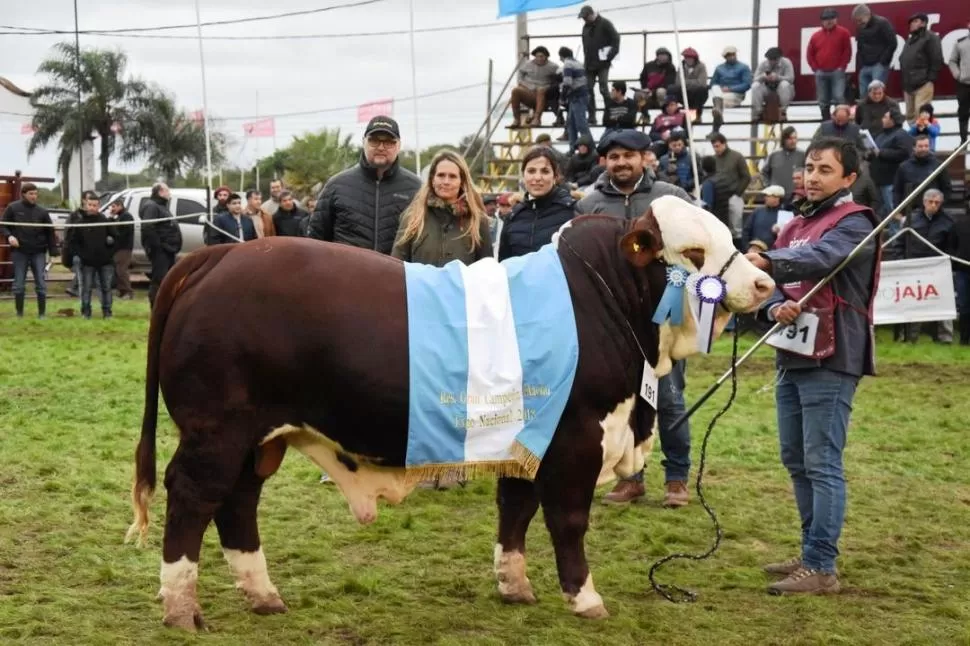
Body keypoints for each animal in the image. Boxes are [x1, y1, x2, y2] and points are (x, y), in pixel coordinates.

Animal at [125, 196, 772, 632]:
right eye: (692, 252)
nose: (765, 282)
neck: (602, 300)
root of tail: (216, 256)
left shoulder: (529, 441)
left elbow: (516, 509)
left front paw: (514, 585)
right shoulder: (576, 439)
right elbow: (567, 520)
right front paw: (585, 598)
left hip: (260, 438)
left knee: (237, 504)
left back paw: (262, 595)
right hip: (216, 434)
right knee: (193, 498)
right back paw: (181, 607)